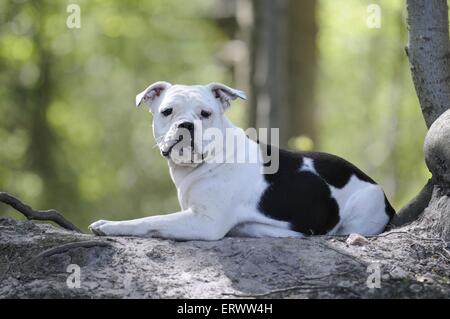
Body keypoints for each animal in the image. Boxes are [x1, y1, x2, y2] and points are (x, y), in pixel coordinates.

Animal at [89, 82, 394, 240]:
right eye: (167, 111)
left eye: (206, 113)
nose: (186, 124)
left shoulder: (204, 222)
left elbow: (150, 220)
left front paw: (110, 225)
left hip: (360, 213)